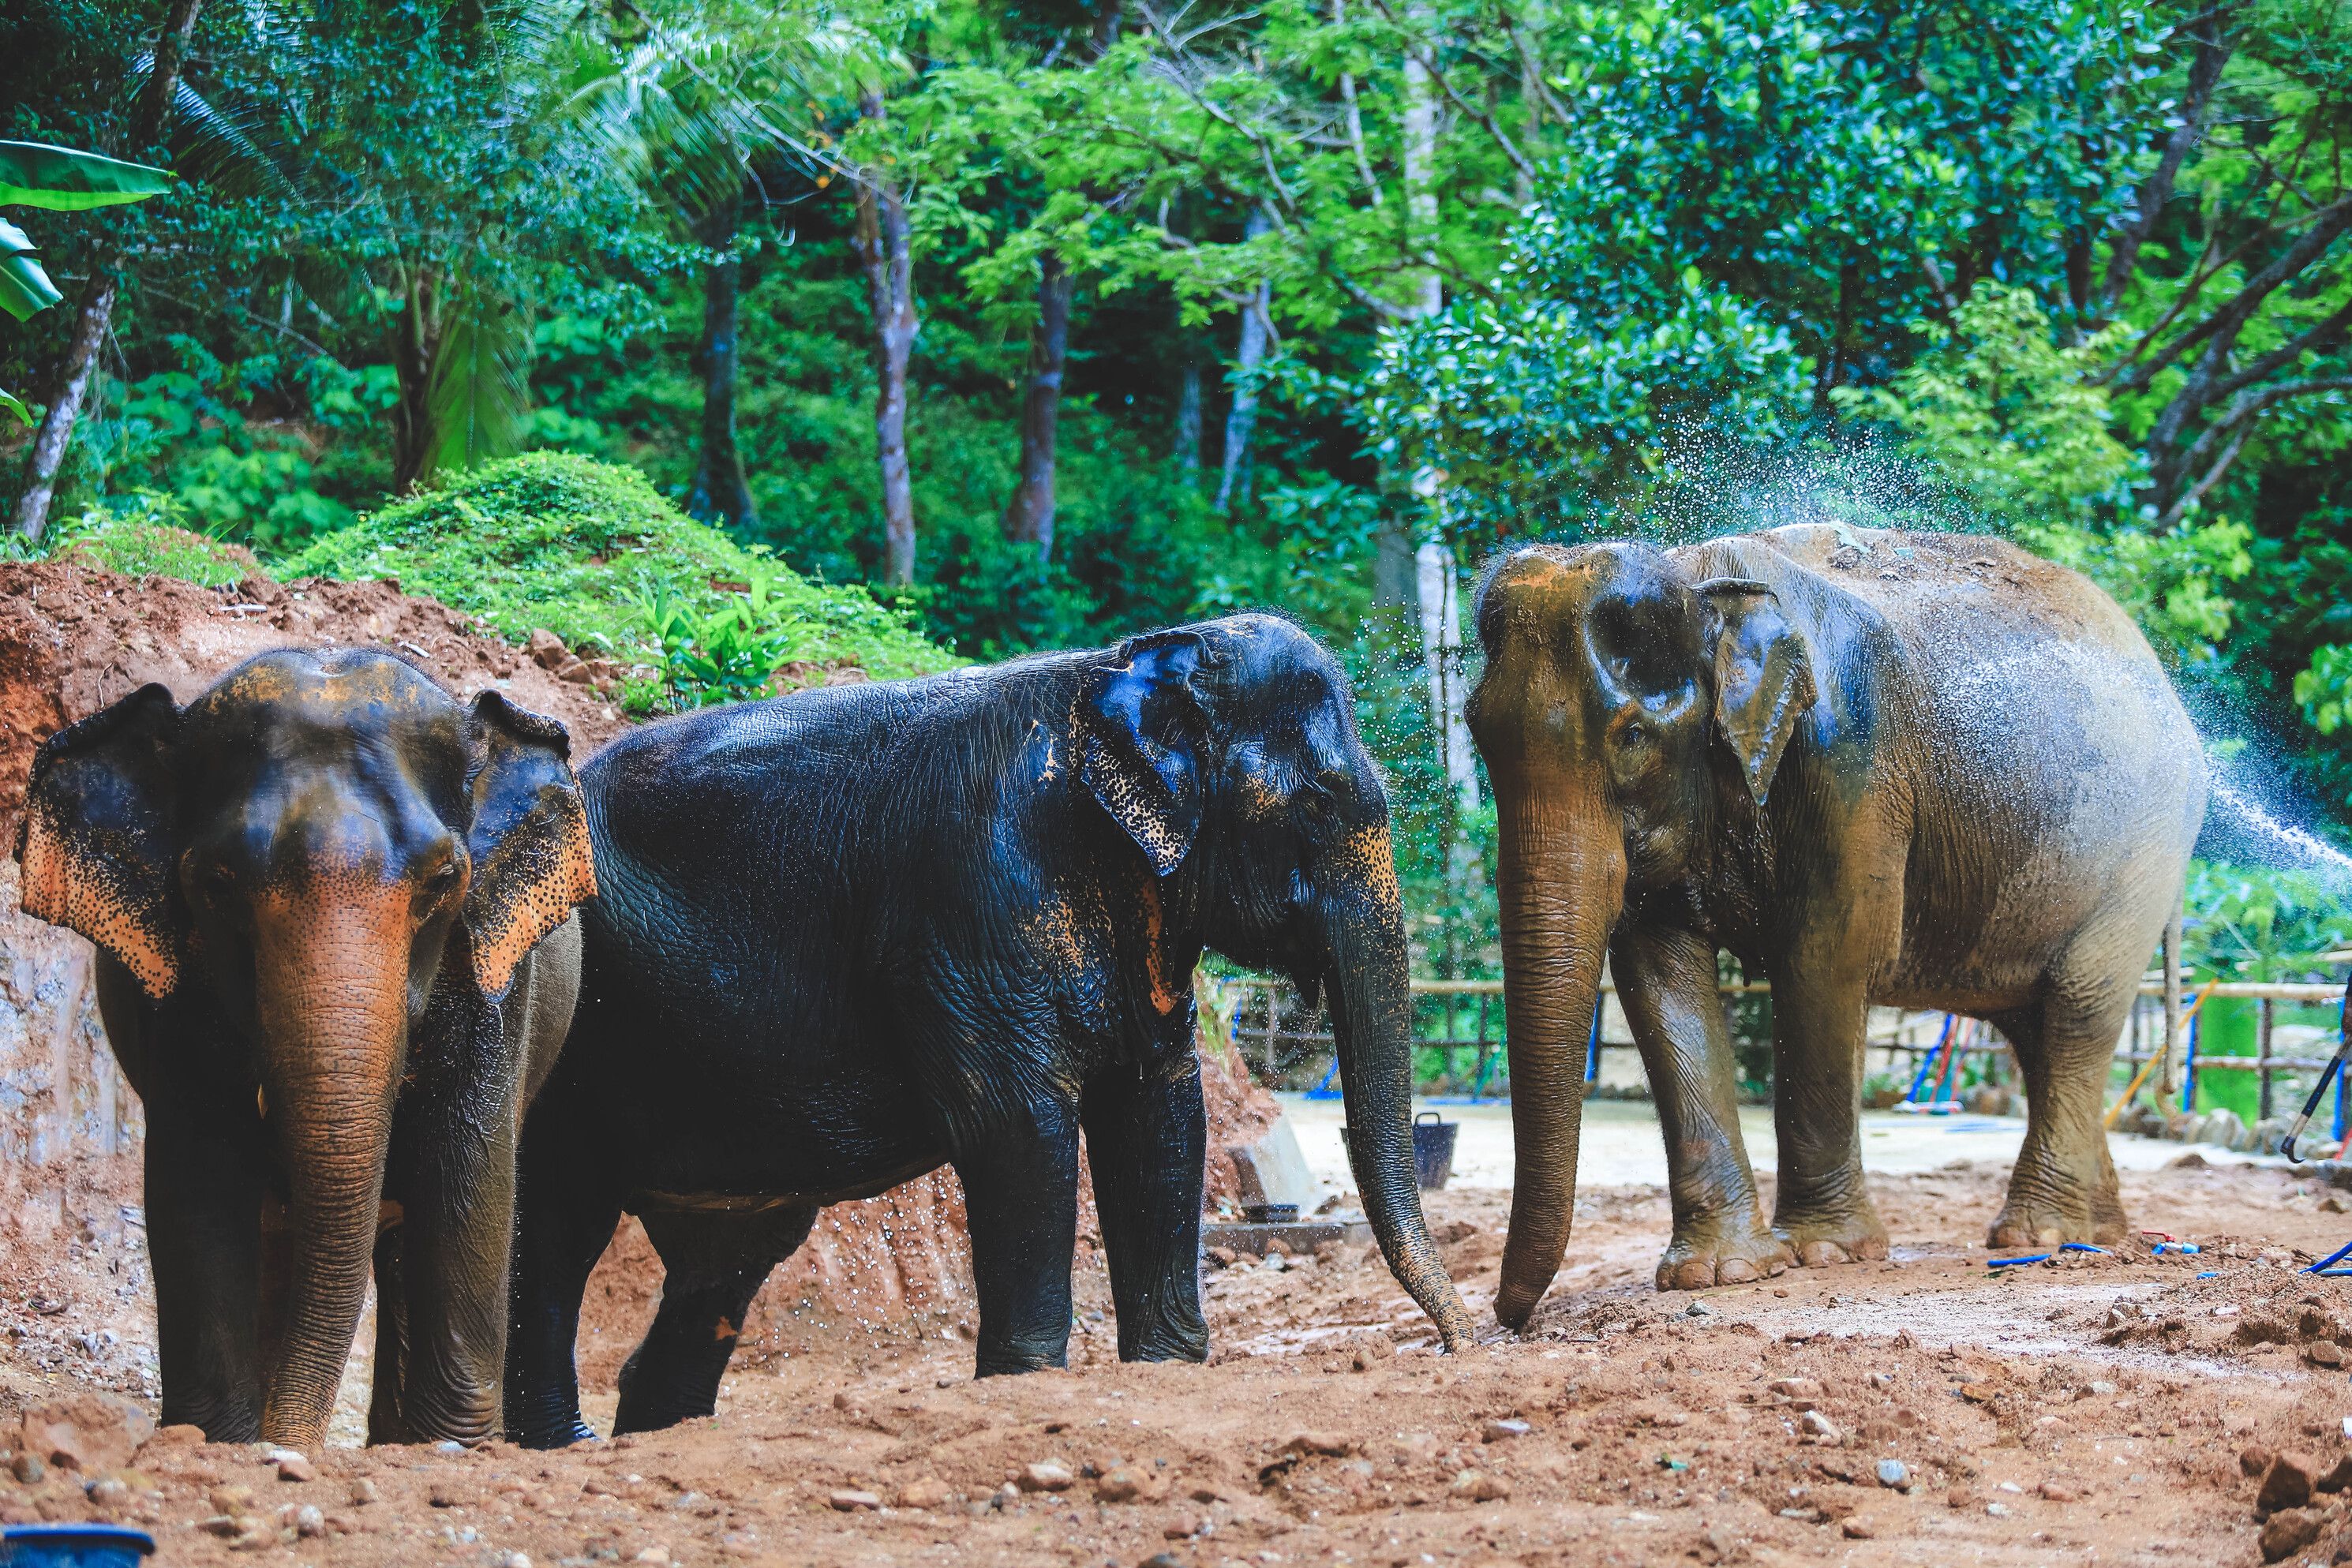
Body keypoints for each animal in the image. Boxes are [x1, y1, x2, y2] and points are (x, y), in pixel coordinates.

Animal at [16, 649, 597, 1450]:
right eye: (218, 883)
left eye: (444, 880)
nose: (285, 1444)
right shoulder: (176, 996)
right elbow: (199, 1182)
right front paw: (221, 1439)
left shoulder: (497, 982)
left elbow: (469, 1176)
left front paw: (453, 1447)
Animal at [503, 613, 1476, 1447]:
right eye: (1317, 803)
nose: (1463, 1346)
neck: (1122, 666)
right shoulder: (972, 898)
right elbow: (1018, 1124)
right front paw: (1027, 1384)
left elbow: (1160, 1115)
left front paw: (1163, 1370)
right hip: (559, 1034)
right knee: (558, 1227)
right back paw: (560, 1443)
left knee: (729, 1256)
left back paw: (660, 1432)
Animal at [1468, 524, 2203, 1323]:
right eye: (1477, 734)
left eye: (1631, 737)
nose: (1507, 1318)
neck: (1699, 581)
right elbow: (1658, 979)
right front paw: (1718, 1274)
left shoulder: (1851, 759)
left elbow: (1824, 957)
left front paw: (1826, 1254)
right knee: (2038, 1036)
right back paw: (2098, 1230)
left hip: (2140, 862)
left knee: (2077, 1015)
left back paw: (2036, 1236)